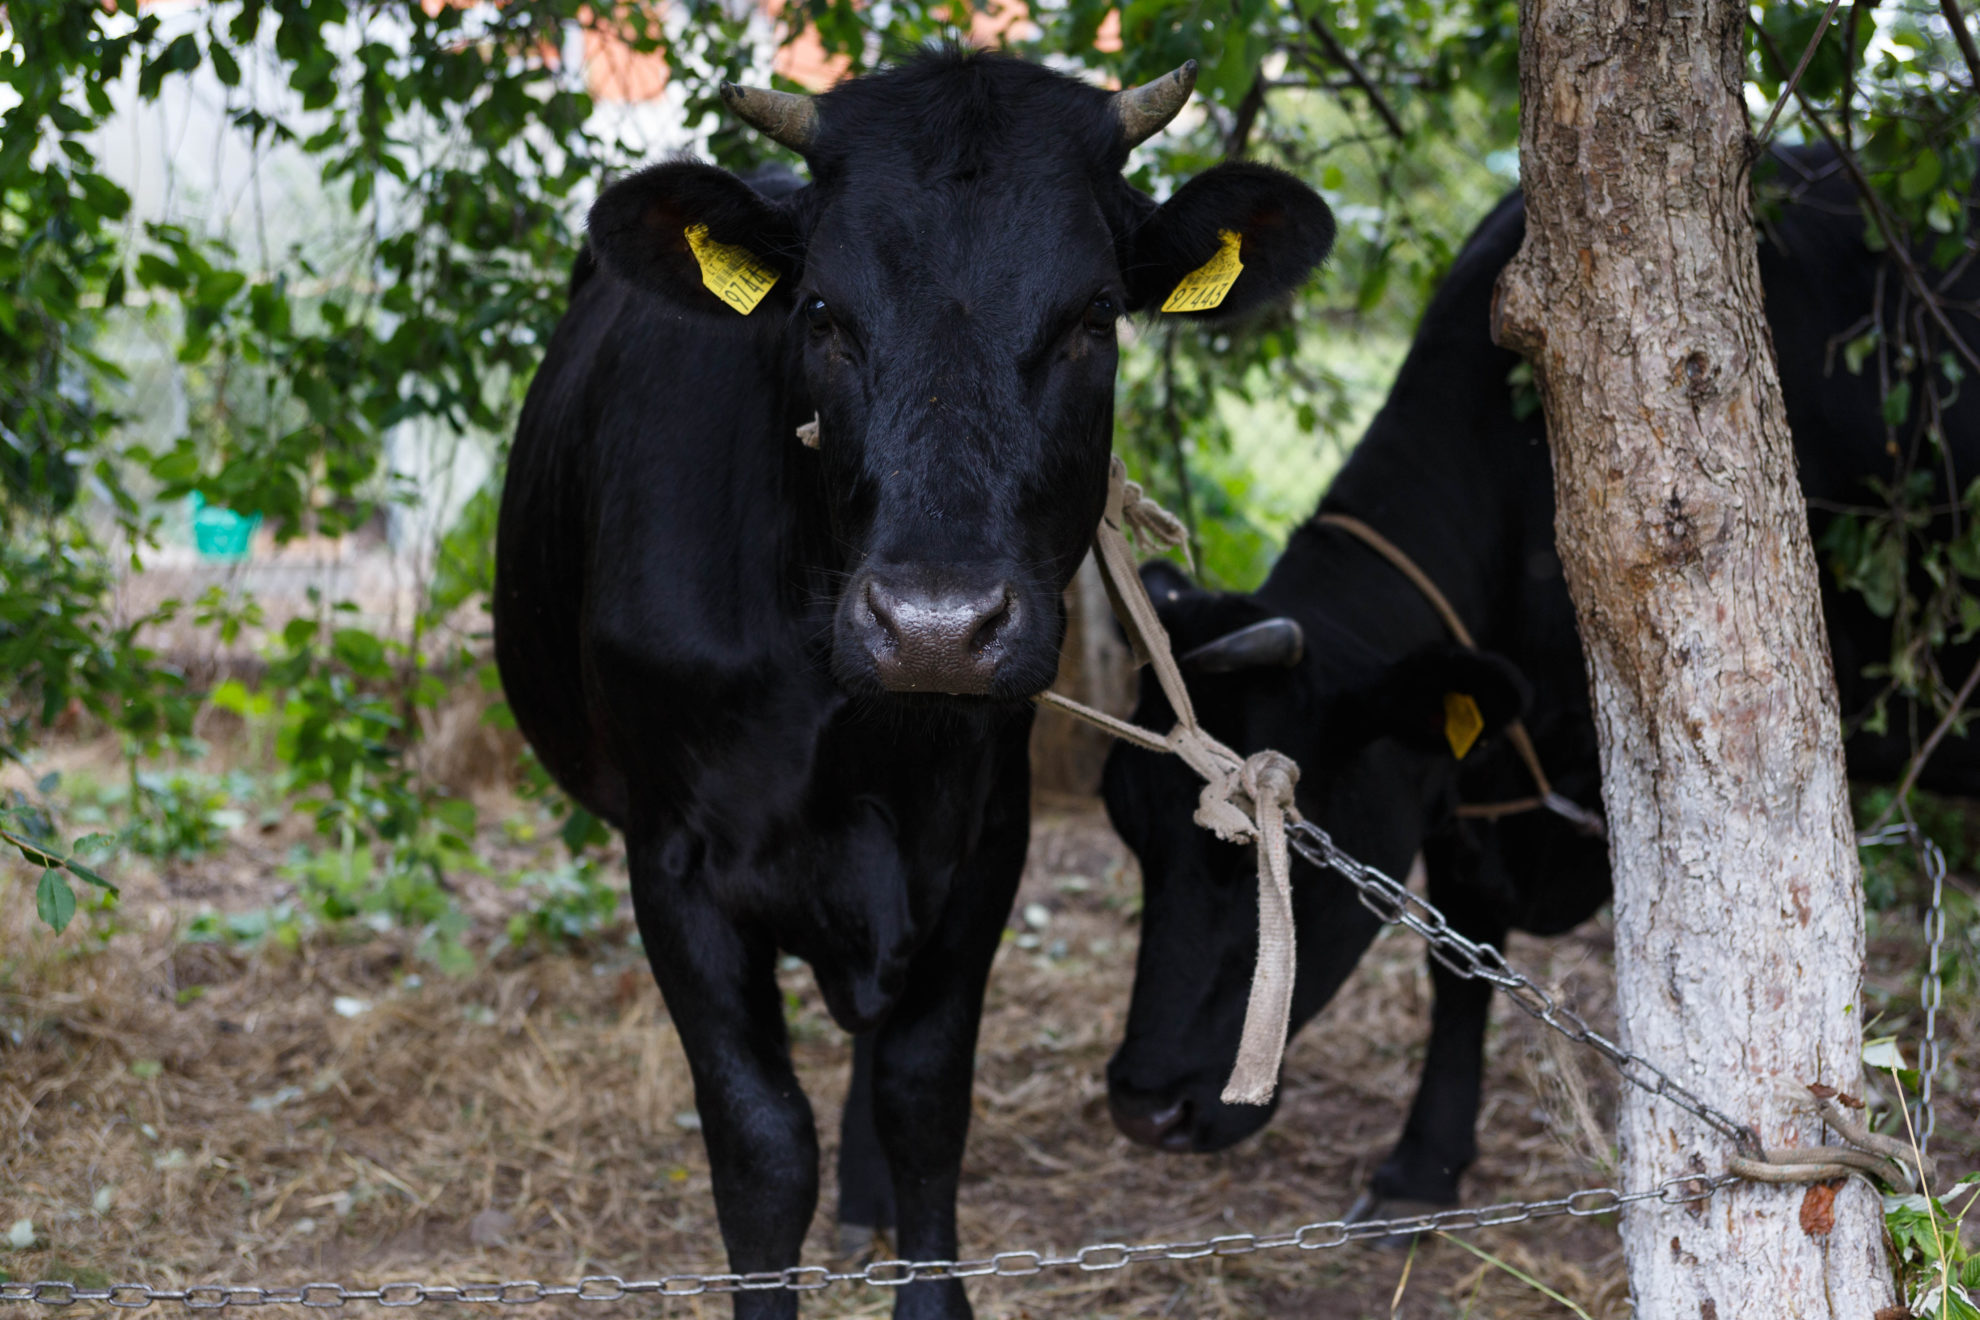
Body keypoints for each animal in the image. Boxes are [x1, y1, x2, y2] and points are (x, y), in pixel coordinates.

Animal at [495, 51, 1338, 1320]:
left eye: (1097, 314)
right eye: (821, 312)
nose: (936, 628)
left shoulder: (983, 840)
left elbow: (925, 1098)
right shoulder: (672, 861)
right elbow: (760, 1144)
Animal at [1100, 144, 1980, 1219]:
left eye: (1285, 857)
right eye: (1126, 825)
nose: (1144, 1107)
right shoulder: (1466, 781)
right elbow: (1460, 955)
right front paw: (1422, 1167)